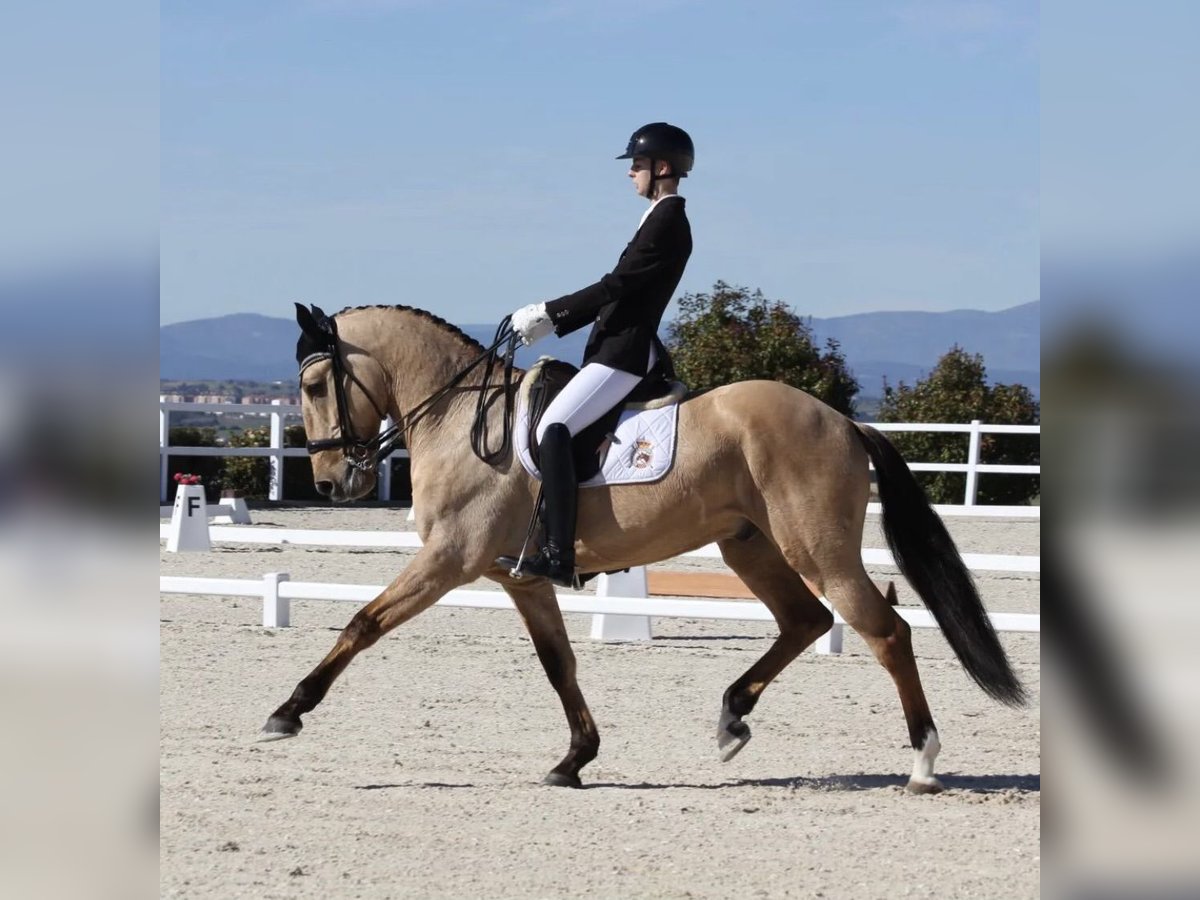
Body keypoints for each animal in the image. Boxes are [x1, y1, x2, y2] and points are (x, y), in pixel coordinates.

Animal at [260, 301, 1022, 787]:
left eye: (315, 383)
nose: (330, 482)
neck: (458, 417)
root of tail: (843, 420)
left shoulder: (449, 559)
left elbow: (362, 624)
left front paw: (286, 713)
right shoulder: (522, 577)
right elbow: (559, 665)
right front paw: (575, 760)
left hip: (818, 552)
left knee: (885, 630)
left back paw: (923, 761)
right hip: (750, 547)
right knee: (806, 621)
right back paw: (732, 719)